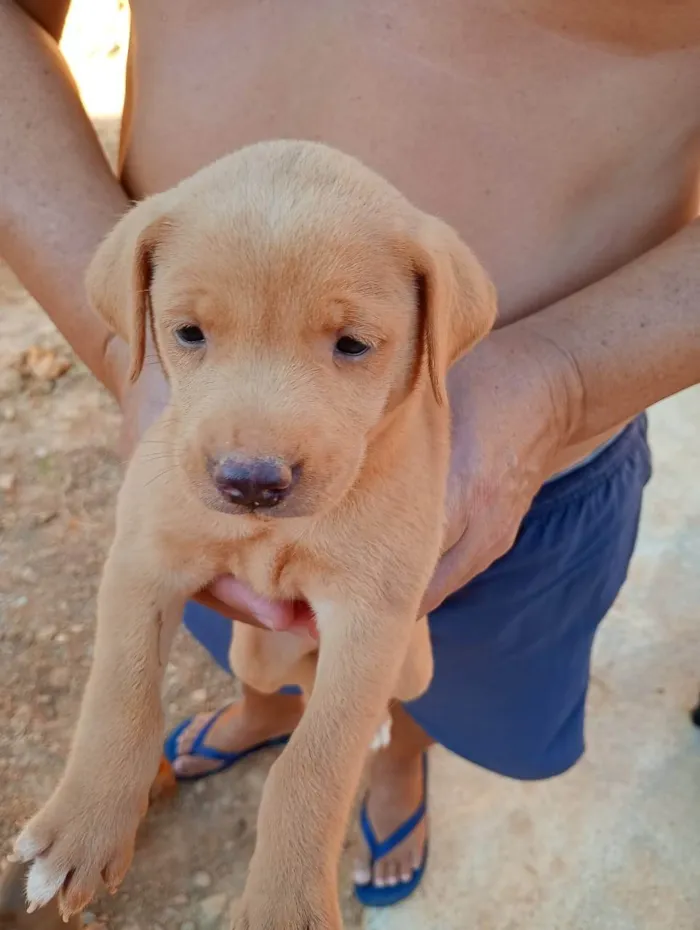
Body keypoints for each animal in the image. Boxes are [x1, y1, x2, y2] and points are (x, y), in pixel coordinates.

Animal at [13, 141, 494, 924]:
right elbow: (121, 693)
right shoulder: (142, 559)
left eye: (354, 344)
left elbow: (314, 766)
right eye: (188, 333)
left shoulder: (372, 619)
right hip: (255, 651)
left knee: (375, 709)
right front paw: (83, 827)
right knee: (280, 692)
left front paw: (285, 899)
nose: (251, 483)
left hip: (413, 658)